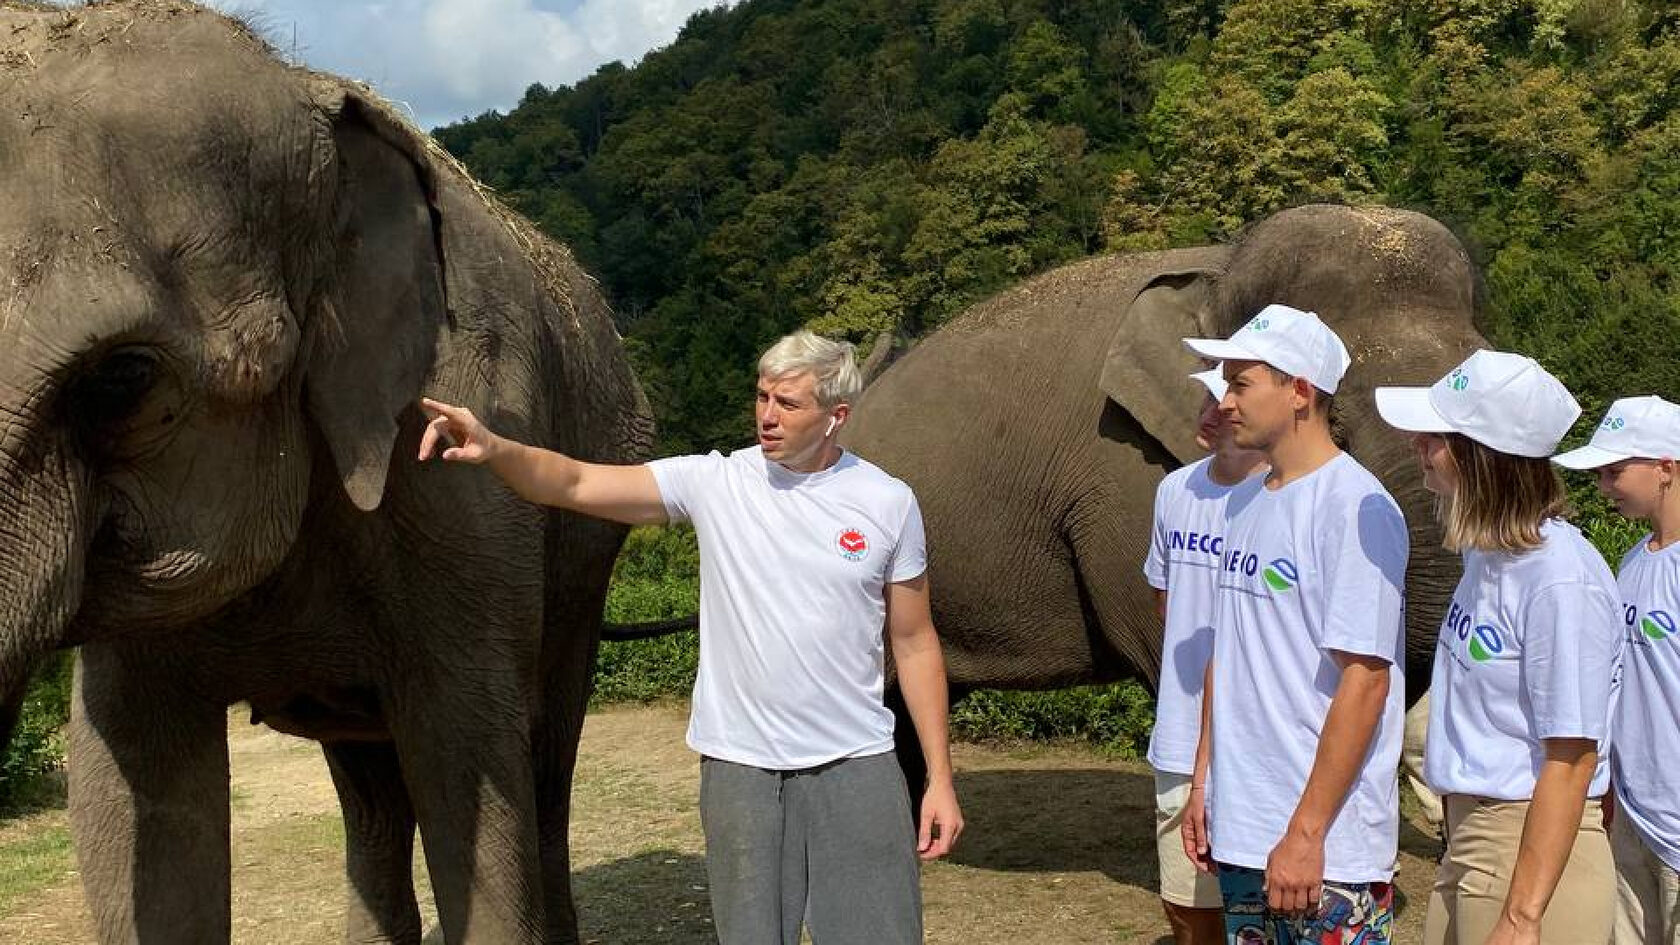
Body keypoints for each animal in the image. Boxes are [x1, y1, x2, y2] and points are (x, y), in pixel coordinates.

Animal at [0, 3, 651, 934]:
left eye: (121, 379)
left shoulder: (462, 486)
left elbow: (470, 767)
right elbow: (129, 801)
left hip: (584, 570)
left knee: (542, 764)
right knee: (372, 789)